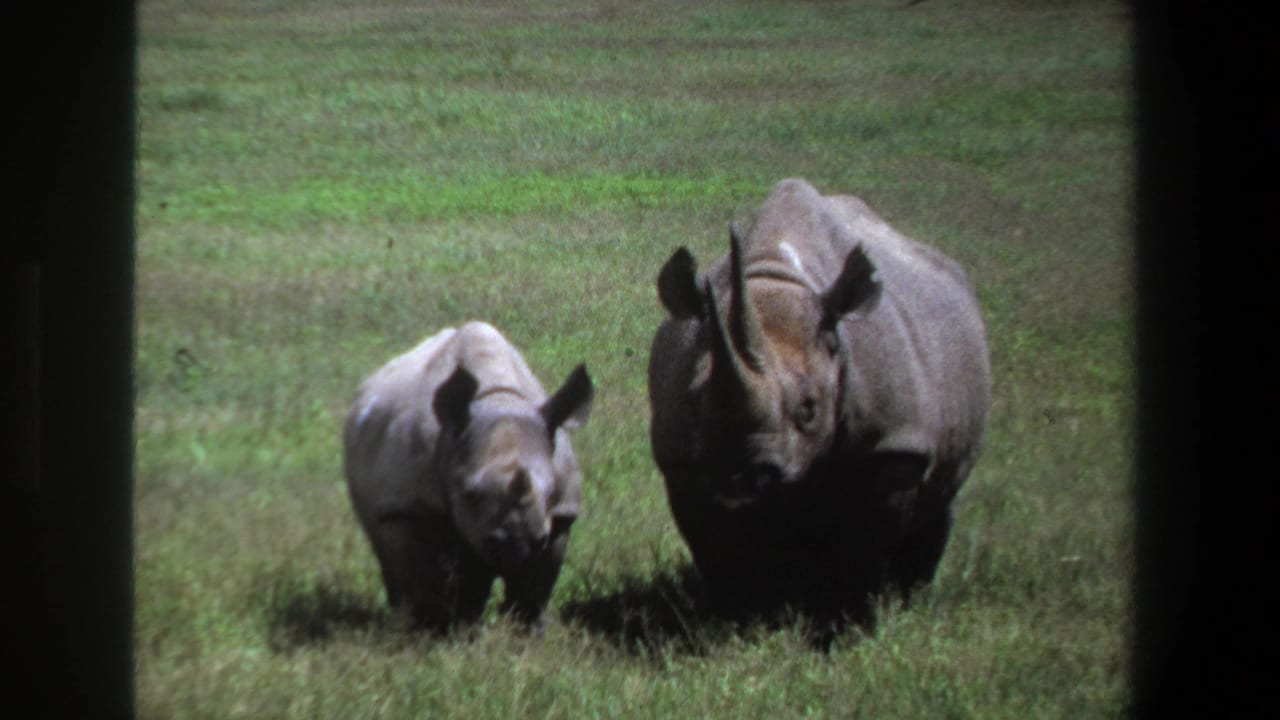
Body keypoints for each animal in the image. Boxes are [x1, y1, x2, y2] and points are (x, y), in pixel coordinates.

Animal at [343, 321, 593, 631]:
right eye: (469, 494)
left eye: (551, 494)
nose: (519, 543)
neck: (498, 400)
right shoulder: (406, 505)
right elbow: (420, 577)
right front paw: (431, 629)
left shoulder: (560, 517)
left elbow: (535, 588)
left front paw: (526, 633)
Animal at [648, 178, 990, 626]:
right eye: (695, 401)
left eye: (810, 408)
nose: (740, 475)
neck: (772, 280)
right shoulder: (683, 461)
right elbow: (717, 549)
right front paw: (741, 620)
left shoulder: (892, 444)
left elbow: (864, 546)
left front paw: (849, 623)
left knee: (939, 500)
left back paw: (909, 600)